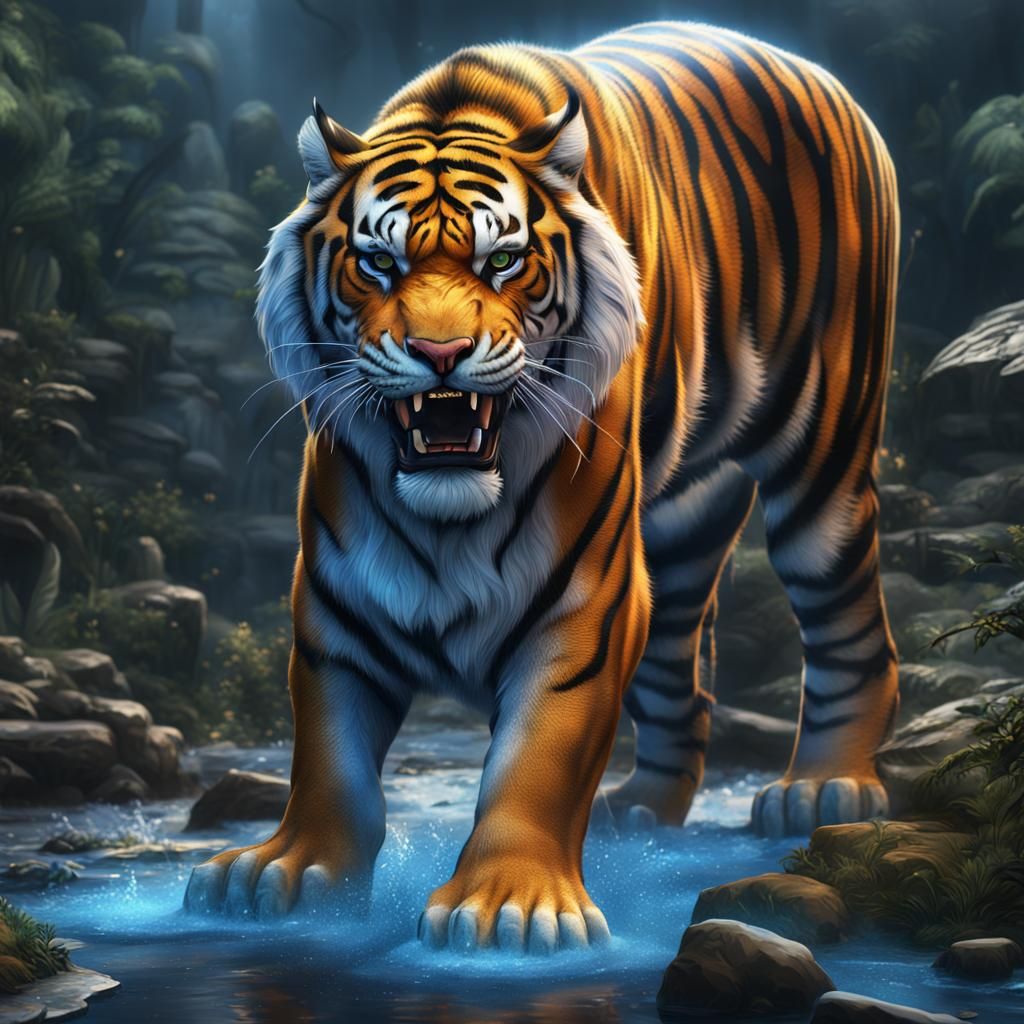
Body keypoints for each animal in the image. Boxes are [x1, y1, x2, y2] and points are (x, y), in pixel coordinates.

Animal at [184, 21, 900, 953]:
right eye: (377, 262)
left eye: (503, 260)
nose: (440, 352)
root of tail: (809, 68)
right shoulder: (336, 600)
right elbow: (329, 749)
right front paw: (289, 870)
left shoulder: (584, 600)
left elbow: (538, 755)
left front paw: (511, 906)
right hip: (680, 528)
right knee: (683, 673)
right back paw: (642, 809)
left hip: (823, 458)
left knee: (850, 625)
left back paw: (825, 789)